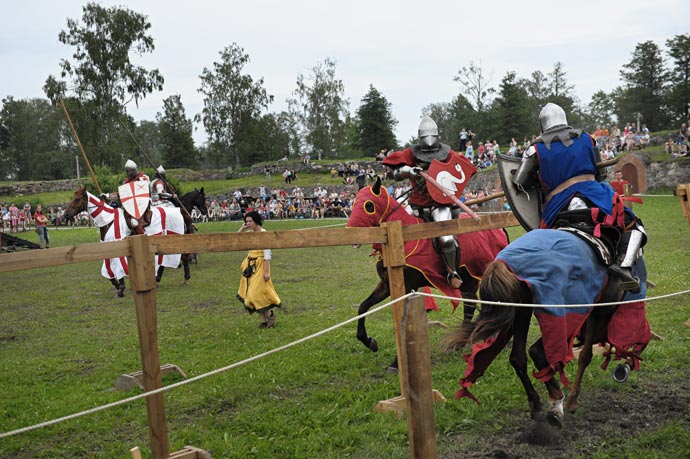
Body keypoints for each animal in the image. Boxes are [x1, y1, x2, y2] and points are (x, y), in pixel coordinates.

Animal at [346, 177, 508, 370]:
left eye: (369, 205)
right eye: (353, 202)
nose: (352, 235)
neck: (399, 240)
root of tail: (499, 228)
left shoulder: (407, 287)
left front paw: (397, 363)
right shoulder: (386, 285)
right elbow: (363, 307)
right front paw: (369, 341)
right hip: (470, 280)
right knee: (472, 305)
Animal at [444, 230, 648, 432]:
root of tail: (502, 265)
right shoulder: (596, 312)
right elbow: (586, 355)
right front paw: (573, 400)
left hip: (522, 311)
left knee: (518, 358)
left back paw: (537, 405)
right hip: (565, 313)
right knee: (537, 351)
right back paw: (557, 401)